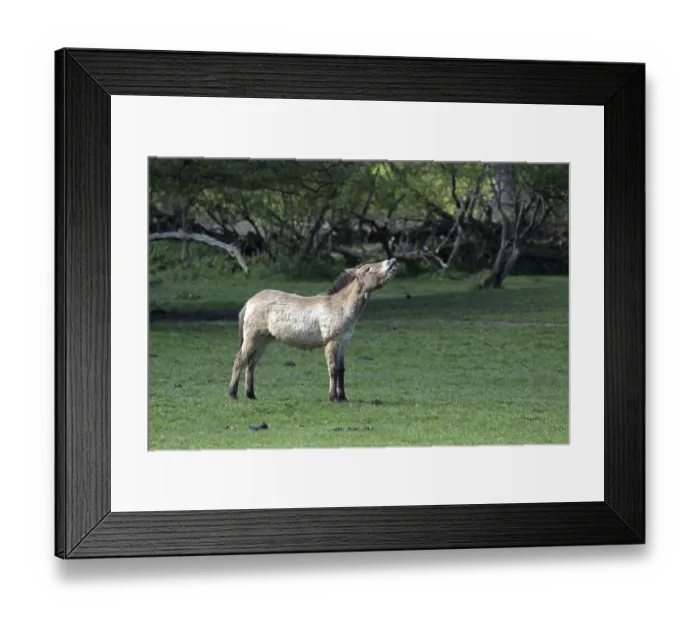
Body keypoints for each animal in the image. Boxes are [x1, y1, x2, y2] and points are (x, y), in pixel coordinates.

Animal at [228, 258, 398, 403]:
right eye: (368, 268)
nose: (392, 261)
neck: (339, 306)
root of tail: (249, 302)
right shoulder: (332, 342)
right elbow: (333, 369)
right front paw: (333, 398)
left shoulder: (343, 342)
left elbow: (341, 369)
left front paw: (343, 397)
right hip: (252, 338)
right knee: (239, 360)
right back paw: (232, 394)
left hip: (263, 340)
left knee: (251, 364)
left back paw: (251, 395)